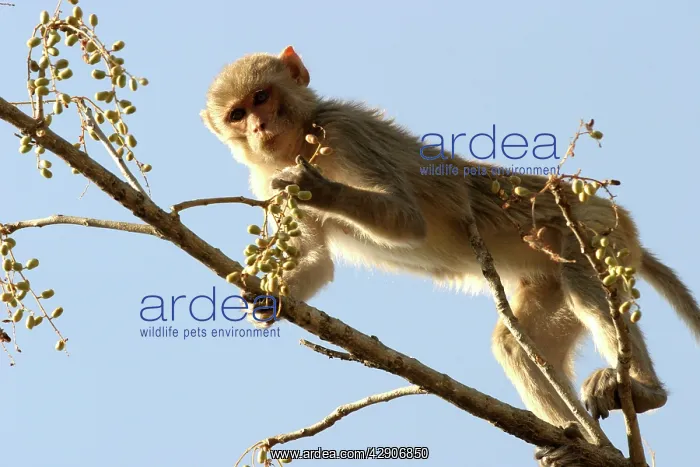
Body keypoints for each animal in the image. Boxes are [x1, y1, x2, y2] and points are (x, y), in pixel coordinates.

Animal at [200, 46, 700, 466]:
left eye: (262, 97)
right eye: (237, 113)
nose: (258, 127)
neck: (301, 140)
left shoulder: (345, 131)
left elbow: (408, 222)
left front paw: (323, 191)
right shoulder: (268, 185)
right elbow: (319, 262)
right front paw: (266, 298)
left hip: (592, 226)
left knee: (579, 276)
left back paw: (643, 391)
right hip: (550, 274)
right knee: (516, 346)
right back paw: (576, 443)